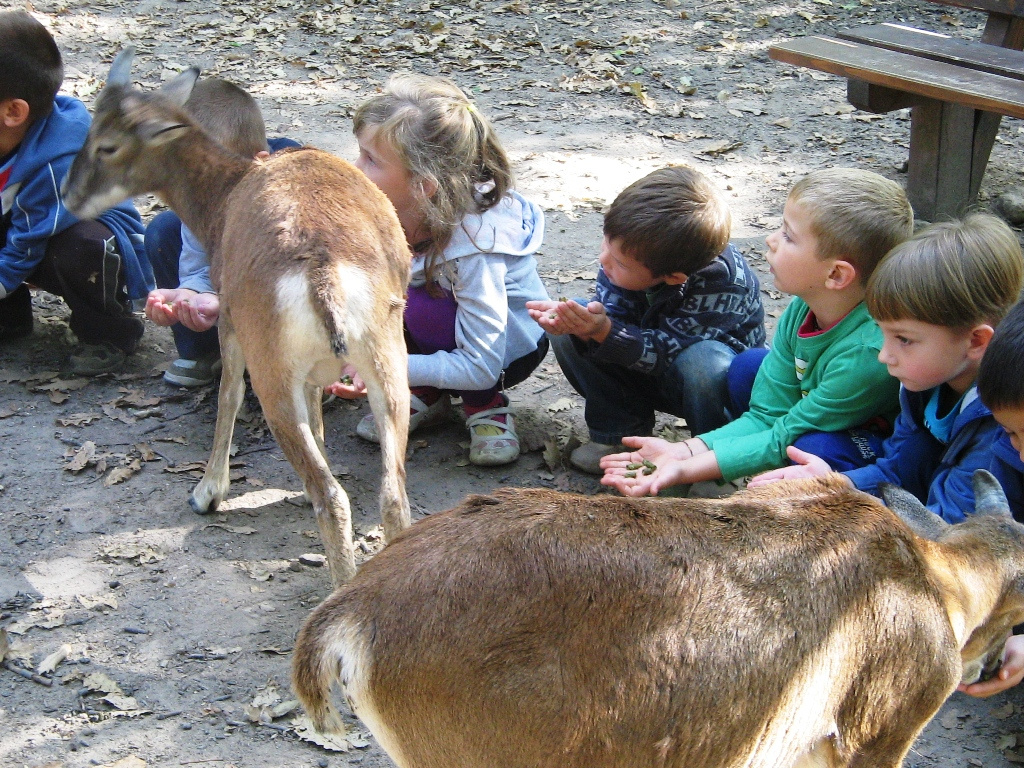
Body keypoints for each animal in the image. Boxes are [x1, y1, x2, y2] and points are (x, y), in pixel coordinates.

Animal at [59, 51, 409, 585]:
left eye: (107, 143)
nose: (68, 196)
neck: (222, 199)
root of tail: (326, 270)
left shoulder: (228, 319)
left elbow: (228, 394)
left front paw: (207, 492)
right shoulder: (312, 371)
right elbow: (317, 411)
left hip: (273, 373)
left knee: (333, 496)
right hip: (387, 362)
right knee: (393, 493)